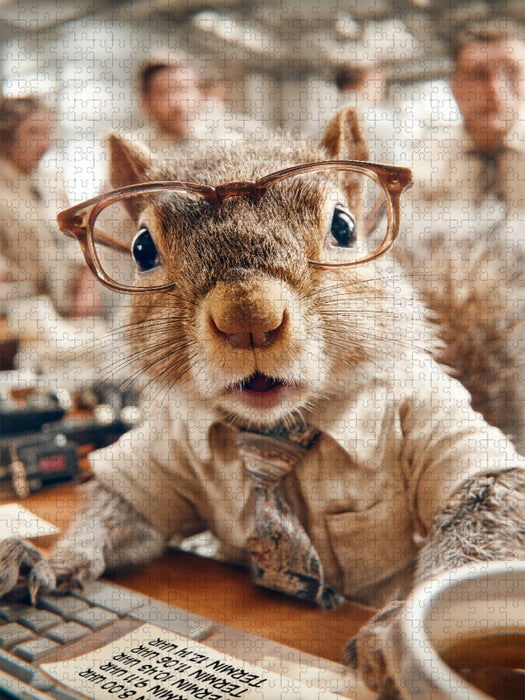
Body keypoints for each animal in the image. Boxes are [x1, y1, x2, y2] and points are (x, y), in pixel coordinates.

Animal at [0, 107, 523, 698]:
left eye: (344, 228)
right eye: (141, 249)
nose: (247, 316)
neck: (278, 429)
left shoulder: (426, 413)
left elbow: (487, 502)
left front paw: (394, 636)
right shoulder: (172, 445)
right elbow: (124, 508)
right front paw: (49, 561)